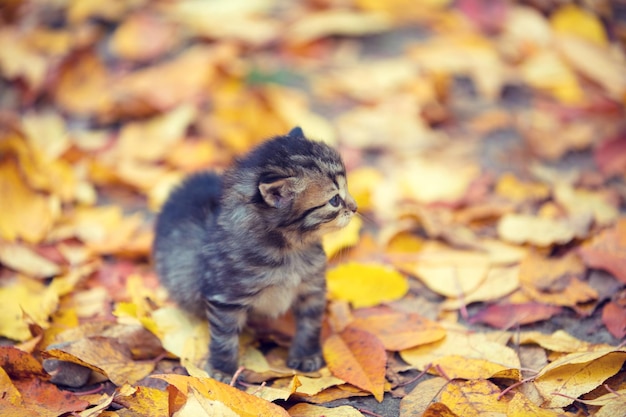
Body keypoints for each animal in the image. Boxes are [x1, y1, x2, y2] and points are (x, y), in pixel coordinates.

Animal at [152, 126, 356, 380]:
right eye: (335, 200)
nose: (356, 208)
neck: (289, 250)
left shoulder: (312, 288)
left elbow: (310, 324)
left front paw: (306, 356)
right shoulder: (225, 298)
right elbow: (225, 337)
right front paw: (222, 370)